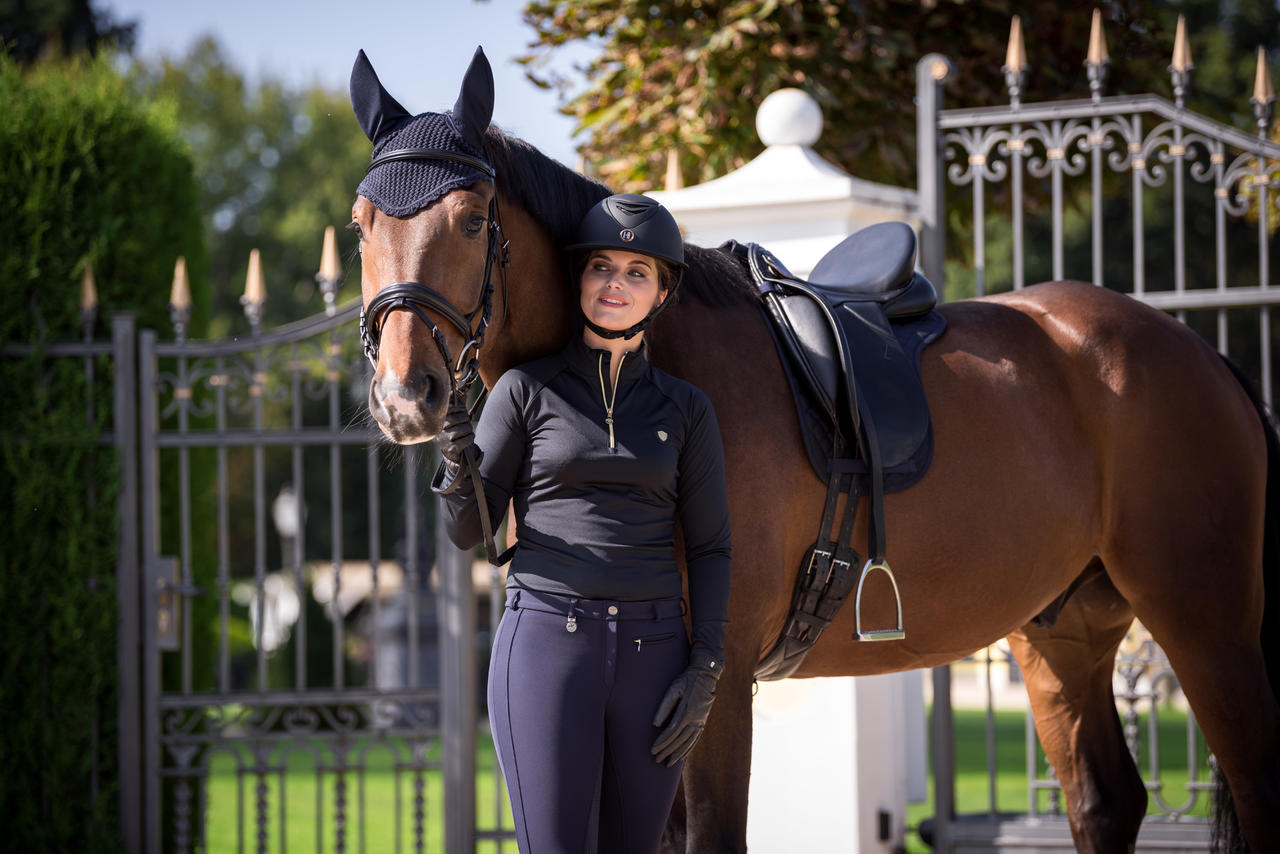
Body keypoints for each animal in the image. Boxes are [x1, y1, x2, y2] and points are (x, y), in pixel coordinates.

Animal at [350, 50, 1280, 850]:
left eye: (473, 219)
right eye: (362, 224)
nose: (405, 396)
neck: (637, 364)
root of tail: (1195, 353)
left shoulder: (714, 684)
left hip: (1205, 620)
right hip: (1062, 635)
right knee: (1104, 801)